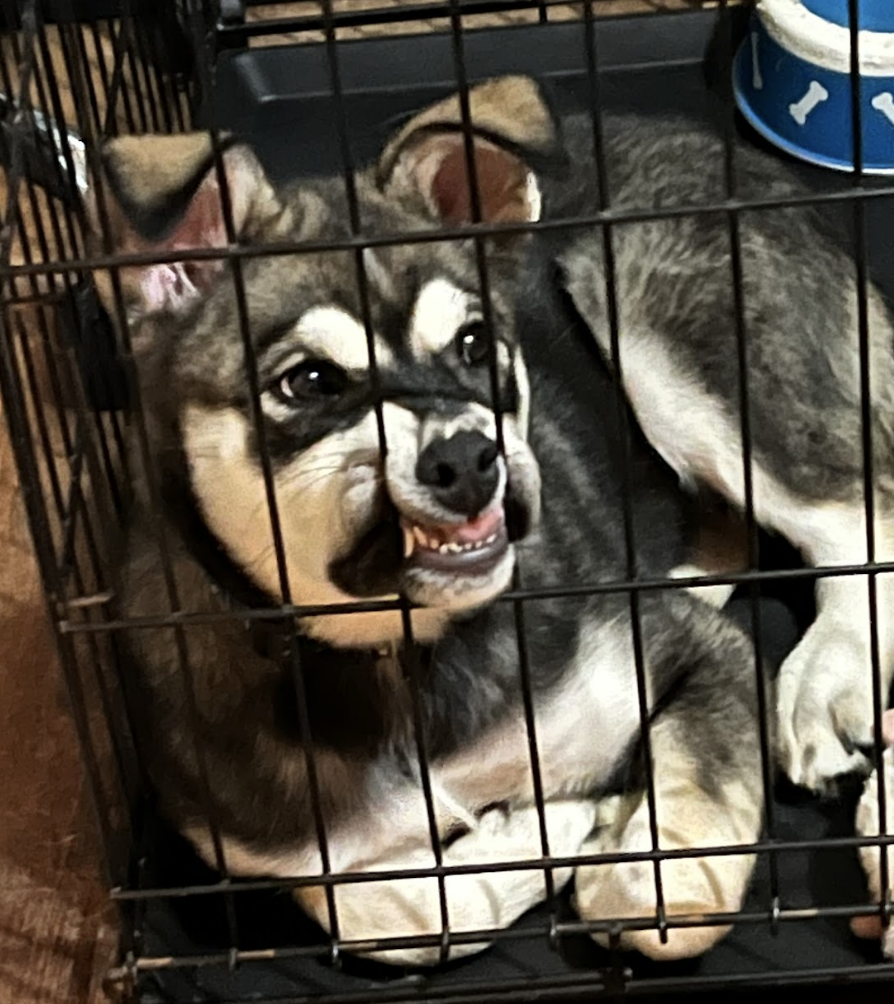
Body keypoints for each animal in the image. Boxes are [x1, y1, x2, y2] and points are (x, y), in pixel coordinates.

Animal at [85, 74, 883, 967]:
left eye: (474, 344)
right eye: (309, 382)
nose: (470, 460)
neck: (398, 654)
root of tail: (732, 155)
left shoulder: (702, 655)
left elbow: (681, 874)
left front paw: (627, 864)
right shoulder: (261, 846)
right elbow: (383, 911)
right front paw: (558, 825)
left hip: (671, 333)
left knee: (852, 508)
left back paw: (827, 679)